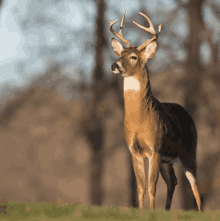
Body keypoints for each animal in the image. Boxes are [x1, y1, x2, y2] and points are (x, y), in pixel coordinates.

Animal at [110, 11, 201, 212]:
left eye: (134, 57)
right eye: (121, 53)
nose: (114, 65)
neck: (140, 119)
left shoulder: (155, 148)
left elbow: (151, 187)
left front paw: (151, 212)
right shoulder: (134, 151)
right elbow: (141, 187)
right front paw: (142, 211)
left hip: (190, 150)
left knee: (194, 184)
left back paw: (200, 212)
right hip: (168, 160)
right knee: (173, 182)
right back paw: (166, 210)